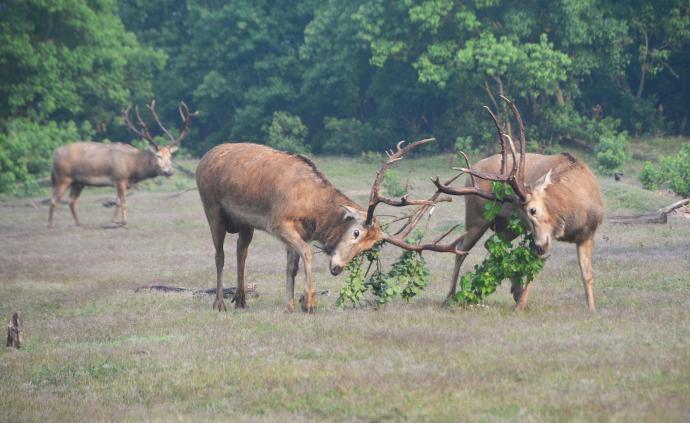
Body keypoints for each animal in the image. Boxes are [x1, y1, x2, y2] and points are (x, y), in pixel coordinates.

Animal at [47, 101, 196, 229]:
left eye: (170, 156)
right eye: (158, 156)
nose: (169, 171)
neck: (133, 168)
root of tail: (54, 154)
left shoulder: (124, 183)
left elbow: (118, 202)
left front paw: (115, 221)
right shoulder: (119, 178)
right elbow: (123, 203)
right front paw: (124, 223)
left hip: (78, 182)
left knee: (71, 201)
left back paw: (79, 223)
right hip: (63, 177)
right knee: (54, 199)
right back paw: (50, 225)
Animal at [194, 141, 464, 314]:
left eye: (367, 248)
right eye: (356, 232)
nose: (337, 268)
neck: (312, 211)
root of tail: (203, 159)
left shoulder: (299, 231)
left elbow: (291, 266)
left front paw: (289, 305)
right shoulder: (278, 222)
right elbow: (306, 253)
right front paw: (308, 304)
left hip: (245, 223)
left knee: (241, 252)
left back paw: (240, 301)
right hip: (211, 207)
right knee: (219, 255)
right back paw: (219, 303)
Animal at [436, 97, 600, 314]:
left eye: (532, 210)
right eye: (526, 213)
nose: (540, 246)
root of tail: (471, 175)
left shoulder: (588, 234)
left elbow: (587, 274)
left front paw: (592, 308)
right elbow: (531, 270)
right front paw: (520, 304)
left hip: (505, 226)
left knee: (493, 244)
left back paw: (513, 289)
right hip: (475, 218)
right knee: (462, 249)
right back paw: (450, 296)